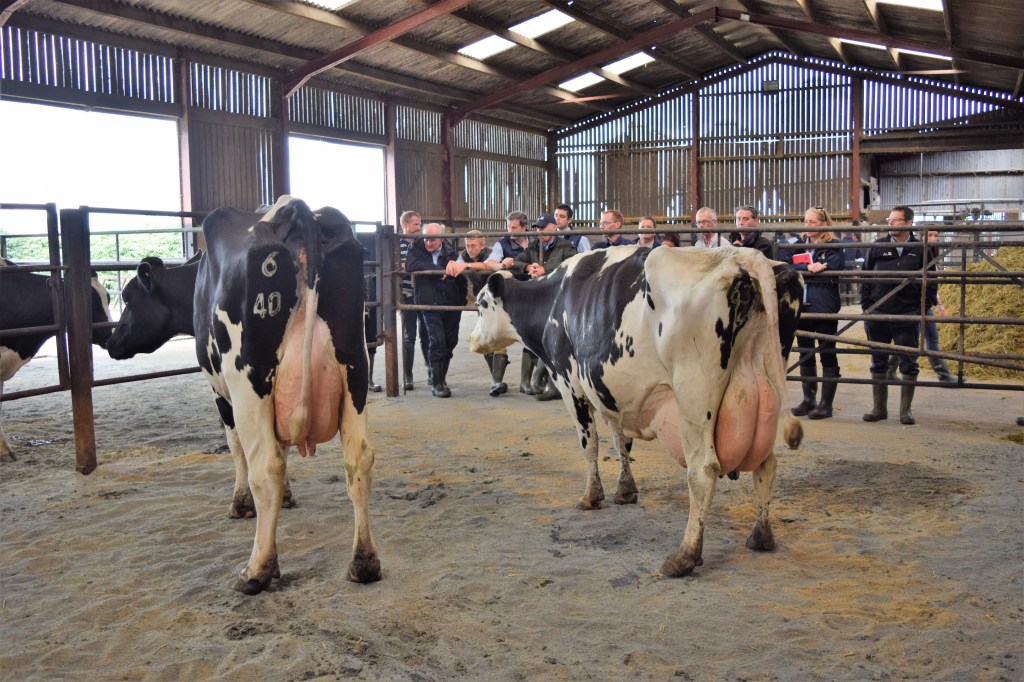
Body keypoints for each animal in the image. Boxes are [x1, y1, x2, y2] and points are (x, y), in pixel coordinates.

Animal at [190, 195, 378, 589]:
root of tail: (294, 209)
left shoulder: (222, 394)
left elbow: (238, 450)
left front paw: (241, 505)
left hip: (249, 381)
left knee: (266, 467)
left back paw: (257, 570)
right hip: (356, 367)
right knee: (359, 460)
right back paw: (364, 563)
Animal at [468, 242, 802, 573]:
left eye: (482, 304)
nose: (471, 339)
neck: (553, 299)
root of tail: (740, 256)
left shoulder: (570, 384)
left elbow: (590, 445)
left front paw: (591, 497)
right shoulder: (612, 392)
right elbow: (621, 442)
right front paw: (625, 491)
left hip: (694, 395)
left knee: (703, 471)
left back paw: (685, 555)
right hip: (764, 390)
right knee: (766, 466)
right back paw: (761, 536)